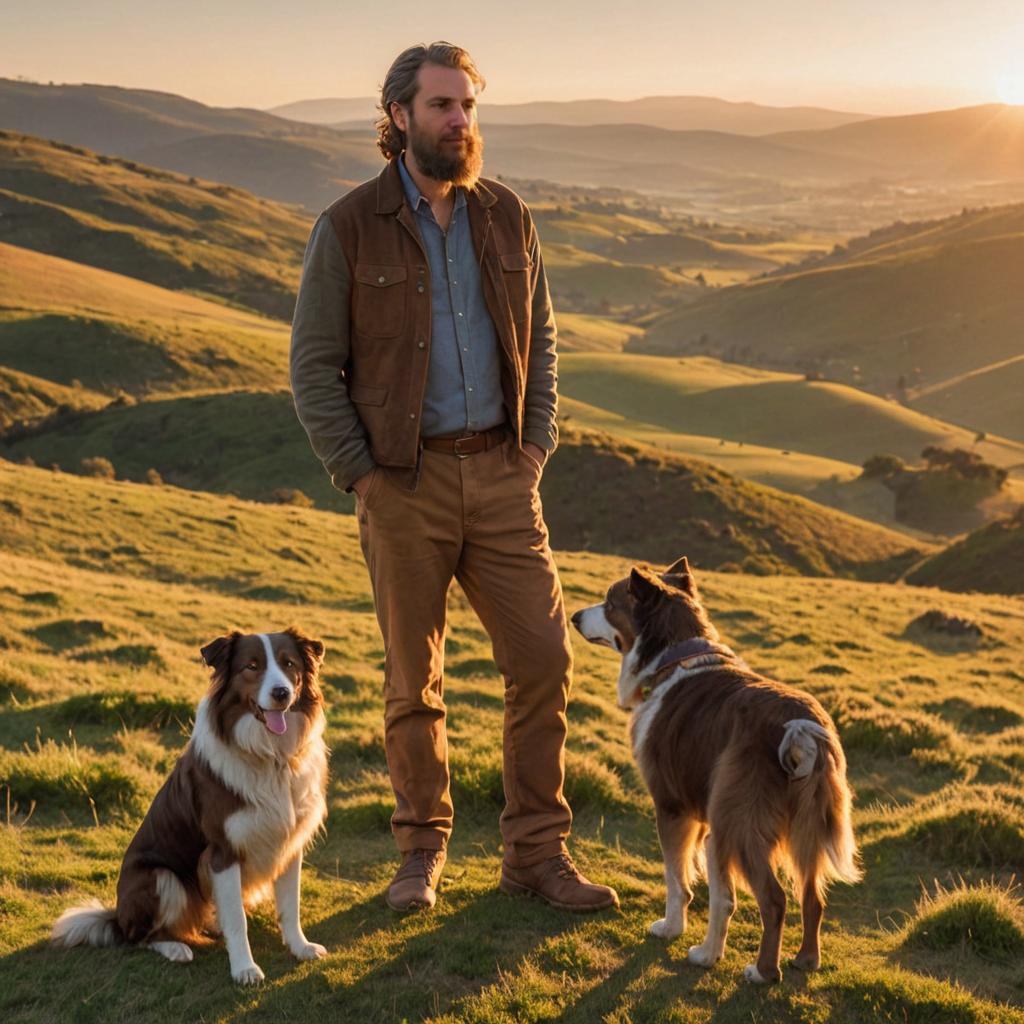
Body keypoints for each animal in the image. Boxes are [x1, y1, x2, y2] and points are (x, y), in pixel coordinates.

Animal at [51, 622, 327, 983]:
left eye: (289, 664)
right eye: (252, 666)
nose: (281, 693)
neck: (270, 757)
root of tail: (118, 916)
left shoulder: (288, 843)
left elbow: (290, 906)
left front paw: (299, 946)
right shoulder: (222, 852)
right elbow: (237, 921)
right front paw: (244, 968)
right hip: (160, 878)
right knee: (138, 938)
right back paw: (174, 948)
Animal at [573, 561, 860, 983]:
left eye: (610, 603)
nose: (574, 617)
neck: (674, 655)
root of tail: (799, 727)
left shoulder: (671, 807)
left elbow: (678, 880)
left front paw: (672, 929)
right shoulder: (703, 818)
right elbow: (714, 890)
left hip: (738, 824)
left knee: (773, 900)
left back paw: (759, 970)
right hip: (804, 826)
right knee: (811, 897)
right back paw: (805, 959)